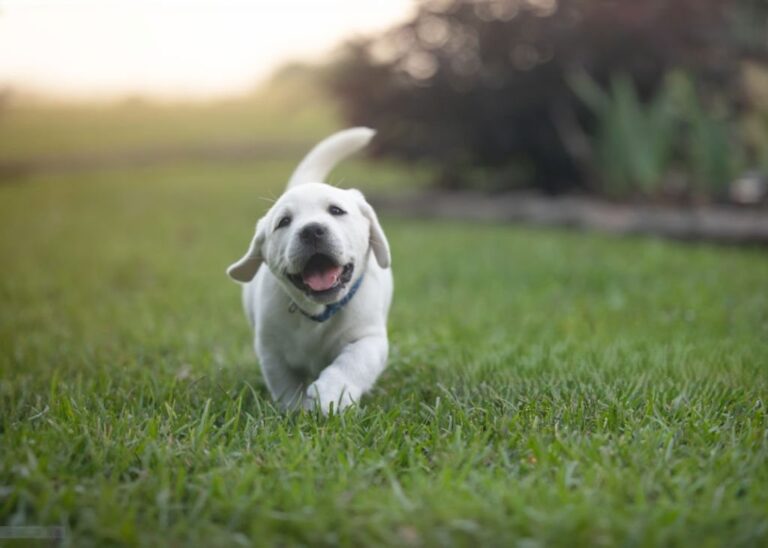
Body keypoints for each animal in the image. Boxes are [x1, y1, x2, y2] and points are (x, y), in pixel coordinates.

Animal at [225, 126, 392, 414]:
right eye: (284, 222)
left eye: (336, 210)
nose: (312, 230)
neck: (318, 314)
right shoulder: (271, 350)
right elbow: (286, 385)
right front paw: (296, 411)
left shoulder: (369, 338)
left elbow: (353, 362)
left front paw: (332, 394)